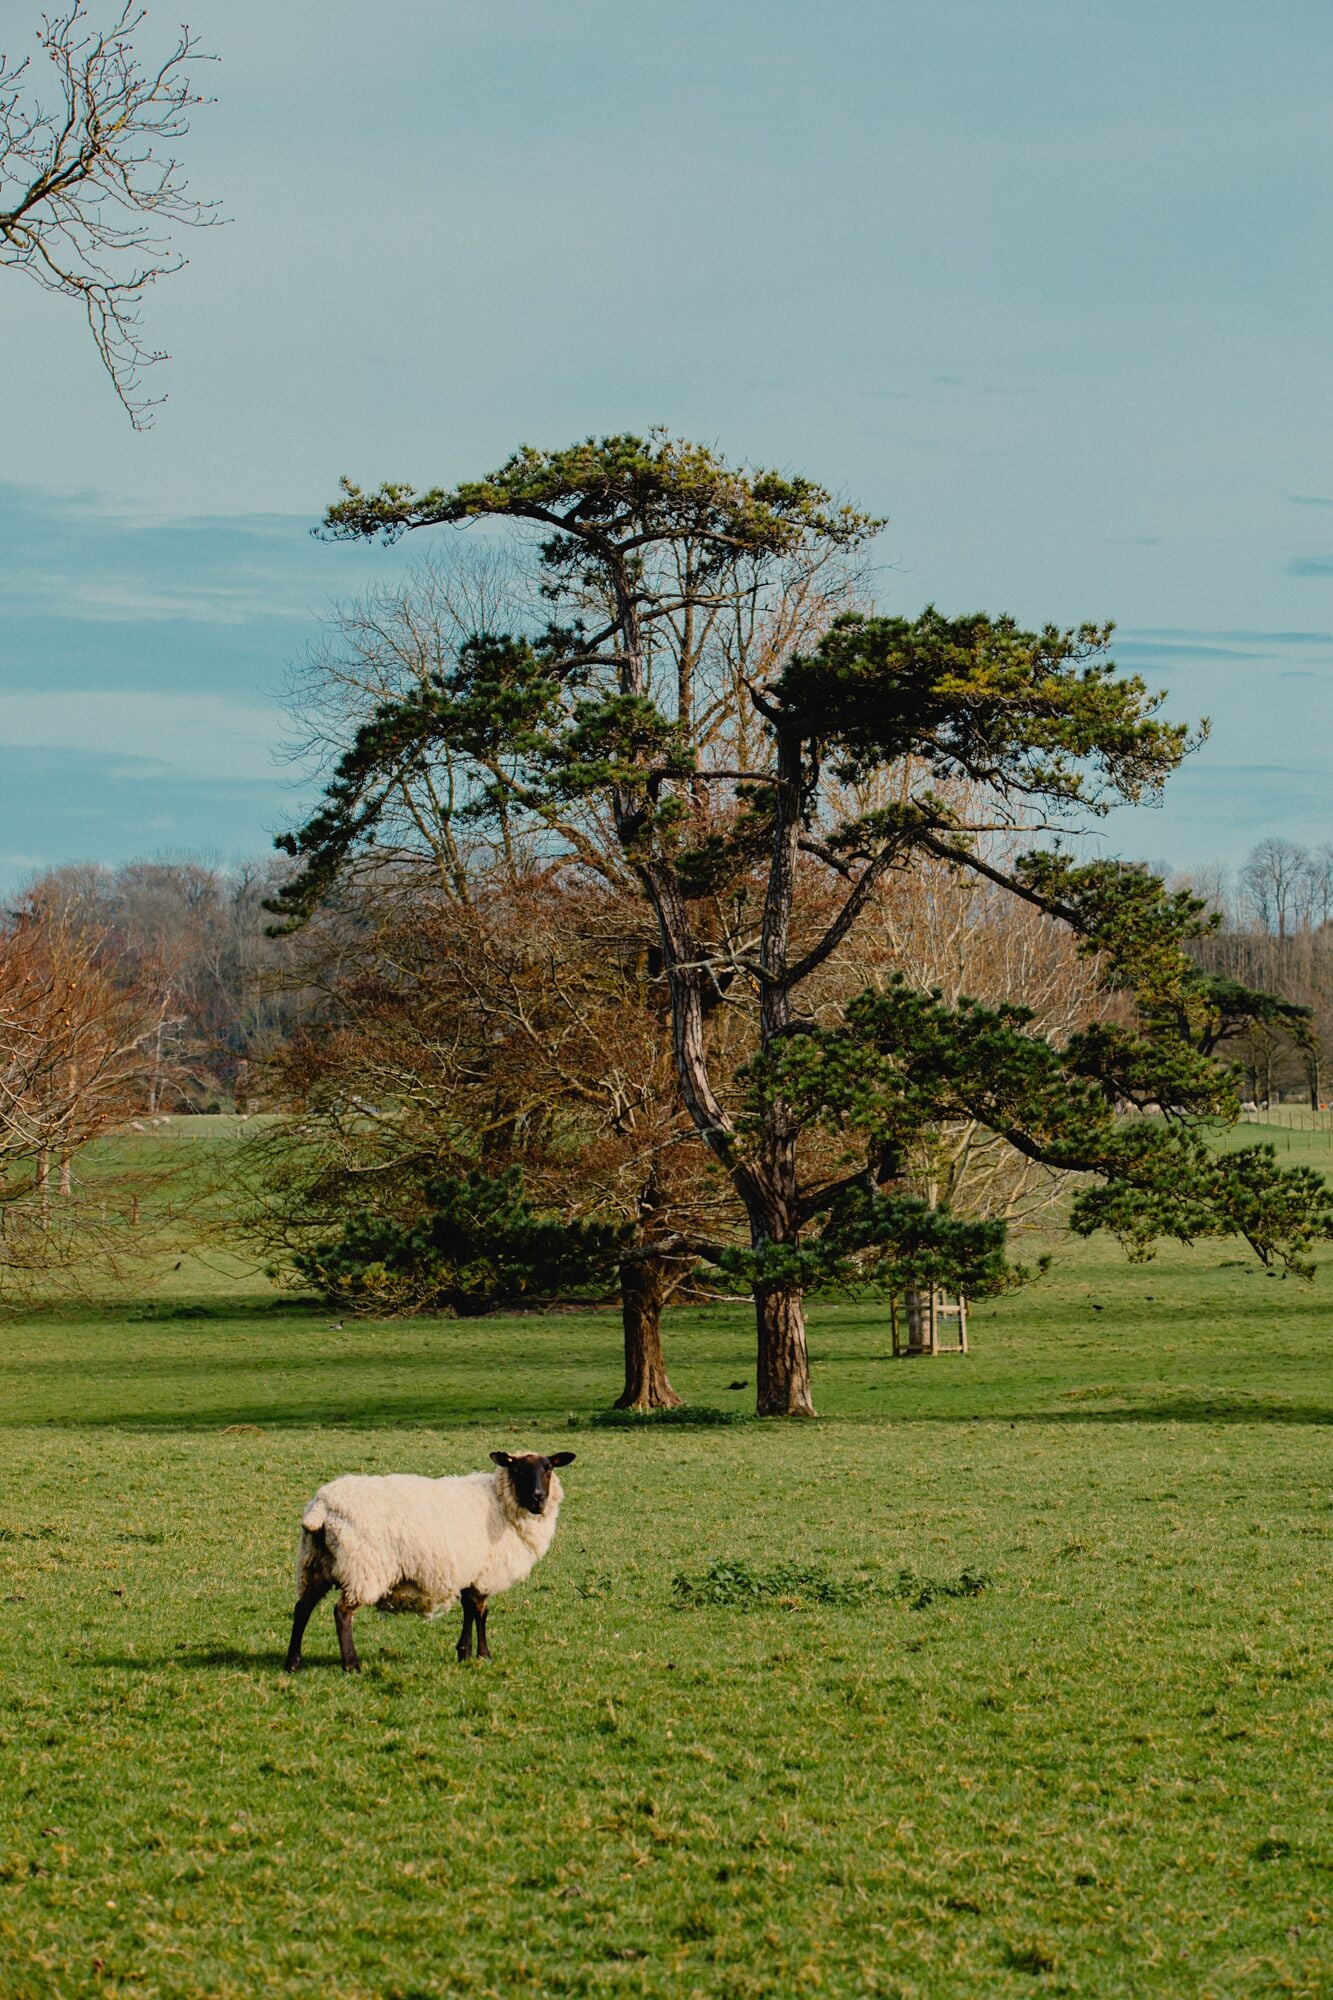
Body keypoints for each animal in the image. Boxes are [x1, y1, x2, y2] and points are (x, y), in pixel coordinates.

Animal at [282, 1449, 575, 1673]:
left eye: (549, 1468)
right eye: (517, 1469)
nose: (539, 1498)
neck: (500, 1502)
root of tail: (321, 1508)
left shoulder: (469, 1572)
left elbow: (469, 1609)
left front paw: (464, 1652)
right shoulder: (483, 1572)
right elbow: (481, 1612)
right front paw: (484, 1654)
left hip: (316, 1565)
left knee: (302, 1609)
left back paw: (293, 1663)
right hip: (362, 1569)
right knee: (341, 1613)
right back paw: (351, 1665)